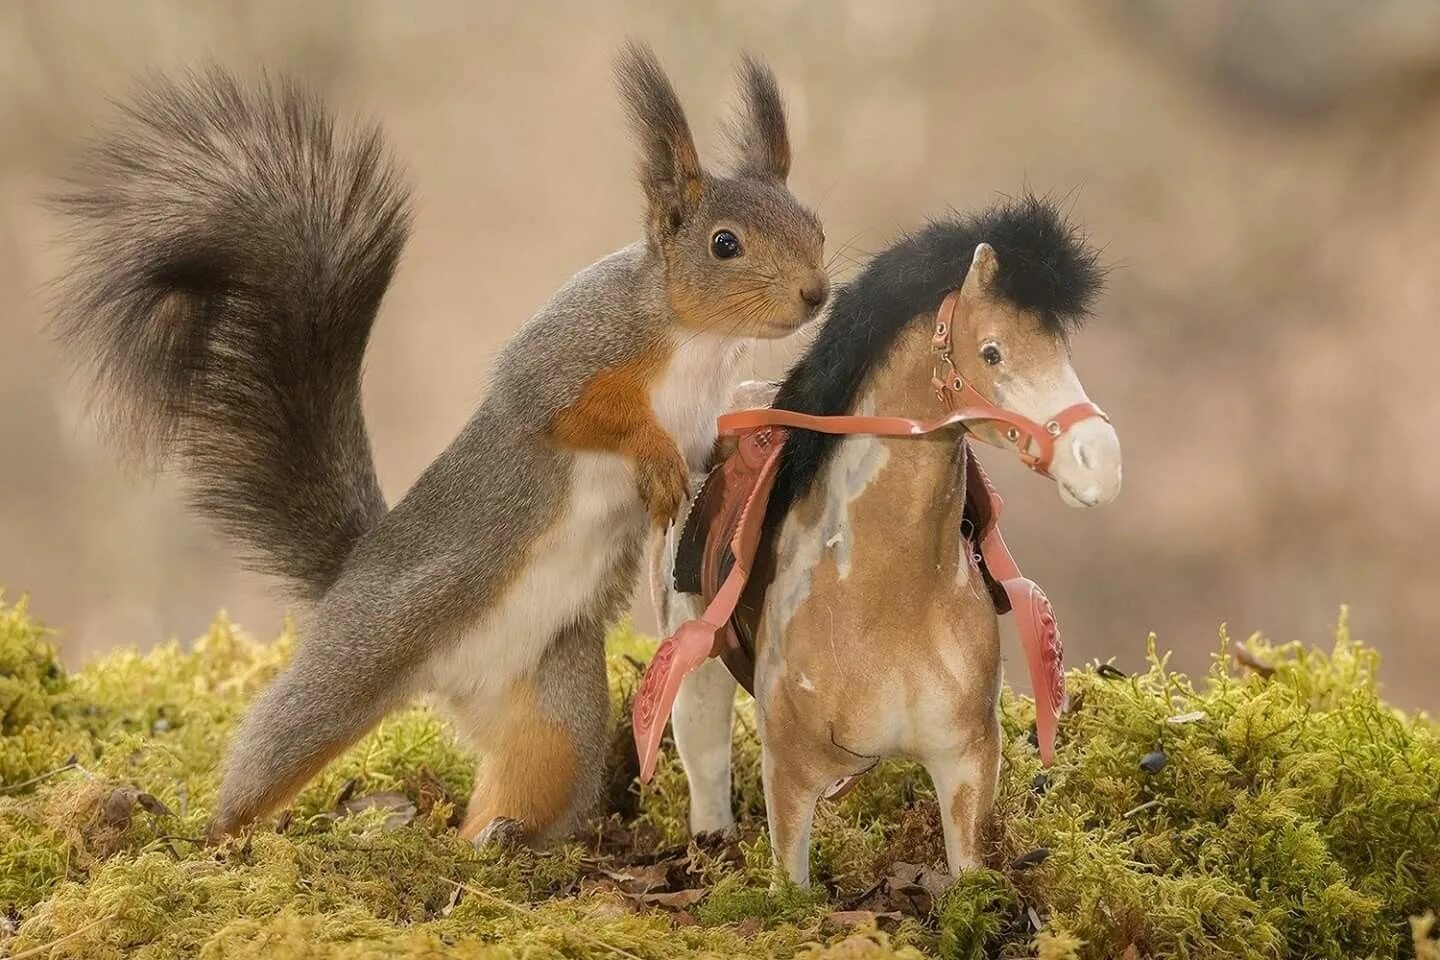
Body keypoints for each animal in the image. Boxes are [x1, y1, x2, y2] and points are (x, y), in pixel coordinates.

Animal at [53, 43, 835, 846]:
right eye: (724, 244)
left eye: (814, 224)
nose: (816, 293)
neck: (696, 340)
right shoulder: (564, 357)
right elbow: (575, 414)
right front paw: (652, 459)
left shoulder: (703, 417)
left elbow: (716, 451)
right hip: (367, 647)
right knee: (282, 740)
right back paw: (214, 831)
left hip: (555, 702)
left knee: (531, 775)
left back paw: (494, 842)